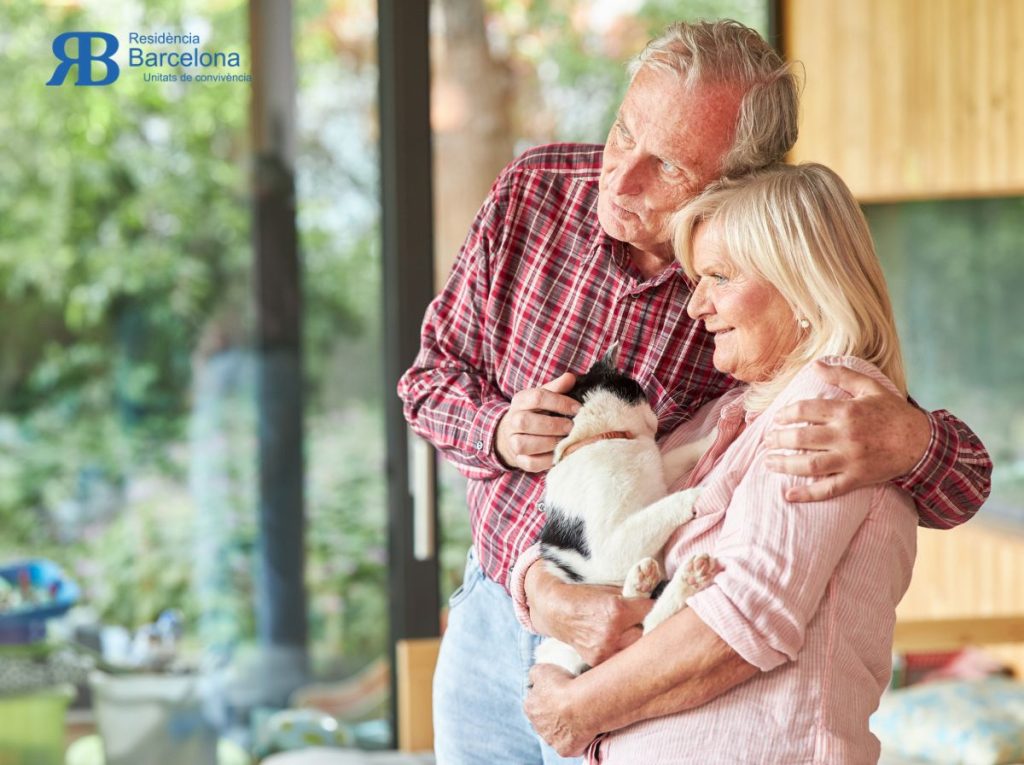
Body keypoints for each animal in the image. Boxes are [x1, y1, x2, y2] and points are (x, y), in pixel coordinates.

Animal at [536, 346, 720, 675]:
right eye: (642, 392)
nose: (658, 417)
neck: (604, 439)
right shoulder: (609, 549)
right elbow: (660, 509)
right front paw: (695, 493)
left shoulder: (659, 474)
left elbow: (676, 456)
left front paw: (710, 439)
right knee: (643, 629)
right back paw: (672, 577)